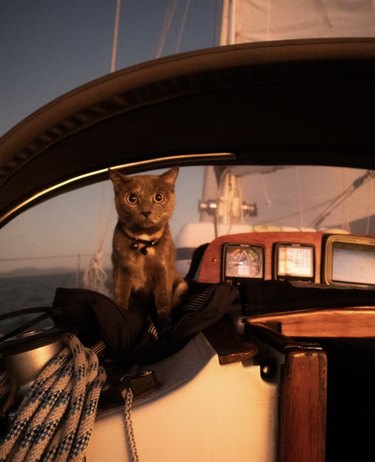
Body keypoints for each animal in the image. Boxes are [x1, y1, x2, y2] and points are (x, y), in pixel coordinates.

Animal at [108, 167, 188, 332]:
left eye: (158, 197)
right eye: (132, 198)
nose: (146, 211)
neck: (143, 243)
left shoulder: (162, 271)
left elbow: (163, 300)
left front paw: (165, 326)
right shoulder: (121, 270)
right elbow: (121, 297)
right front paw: (123, 317)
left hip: (182, 285)